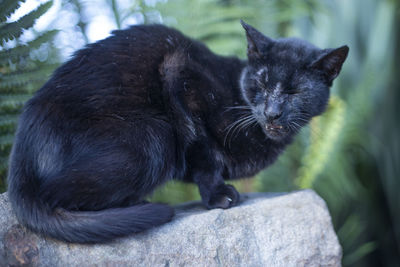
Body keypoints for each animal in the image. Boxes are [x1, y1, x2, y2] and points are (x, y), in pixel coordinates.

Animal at [6, 19, 346, 244]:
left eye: (294, 92)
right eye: (261, 83)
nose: (272, 111)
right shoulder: (179, 74)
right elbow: (205, 152)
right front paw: (218, 195)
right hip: (152, 137)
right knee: (55, 194)